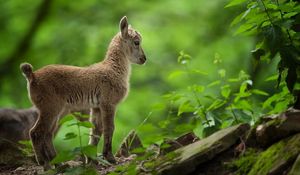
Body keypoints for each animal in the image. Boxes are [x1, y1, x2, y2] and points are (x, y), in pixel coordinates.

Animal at [19, 16, 146, 168]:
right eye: (136, 42)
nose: (144, 59)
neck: (114, 69)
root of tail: (32, 76)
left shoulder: (96, 106)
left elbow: (95, 132)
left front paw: (92, 160)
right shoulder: (108, 103)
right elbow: (109, 128)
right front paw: (110, 158)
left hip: (59, 110)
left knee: (48, 133)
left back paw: (60, 163)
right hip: (50, 108)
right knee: (36, 132)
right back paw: (45, 163)